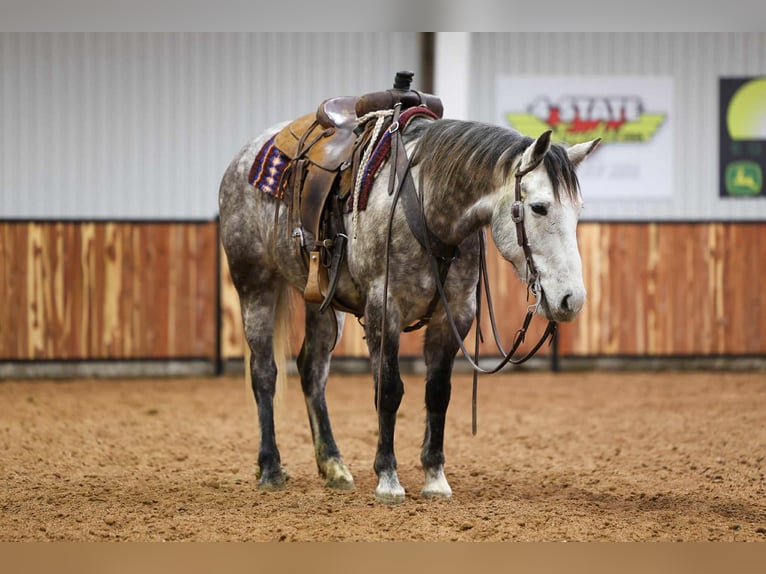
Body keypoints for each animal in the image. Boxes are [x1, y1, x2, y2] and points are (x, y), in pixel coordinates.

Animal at [219, 105, 599, 504]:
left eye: (578, 210)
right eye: (539, 208)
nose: (572, 299)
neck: (428, 210)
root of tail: (245, 157)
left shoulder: (455, 315)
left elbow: (438, 393)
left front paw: (435, 478)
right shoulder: (383, 310)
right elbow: (388, 390)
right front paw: (388, 478)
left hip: (322, 302)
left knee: (312, 371)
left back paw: (334, 466)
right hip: (255, 284)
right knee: (264, 372)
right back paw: (270, 468)